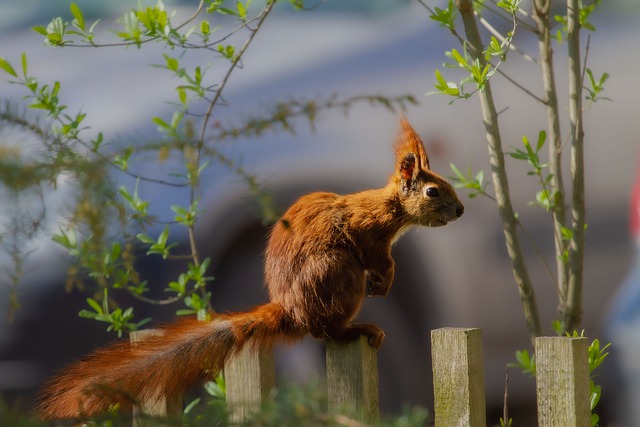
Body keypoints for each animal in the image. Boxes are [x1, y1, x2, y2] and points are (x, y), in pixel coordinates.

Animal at [37, 117, 462, 422]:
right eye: (433, 191)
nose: (460, 210)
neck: (389, 210)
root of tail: (290, 311)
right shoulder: (366, 233)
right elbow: (378, 257)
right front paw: (385, 280)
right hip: (336, 271)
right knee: (326, 332)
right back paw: (359, 329)